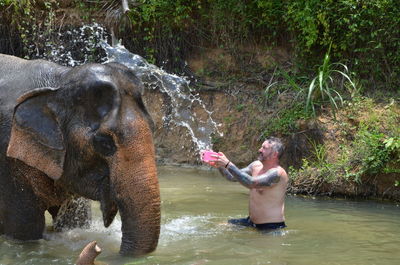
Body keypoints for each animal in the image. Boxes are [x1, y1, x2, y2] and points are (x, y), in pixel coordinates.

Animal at [0, 52, 159, 255]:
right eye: (104, 143)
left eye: (153, 128)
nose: (98, 247)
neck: (59, 81)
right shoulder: (8, 162)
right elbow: (24, 228)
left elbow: (75, 221)